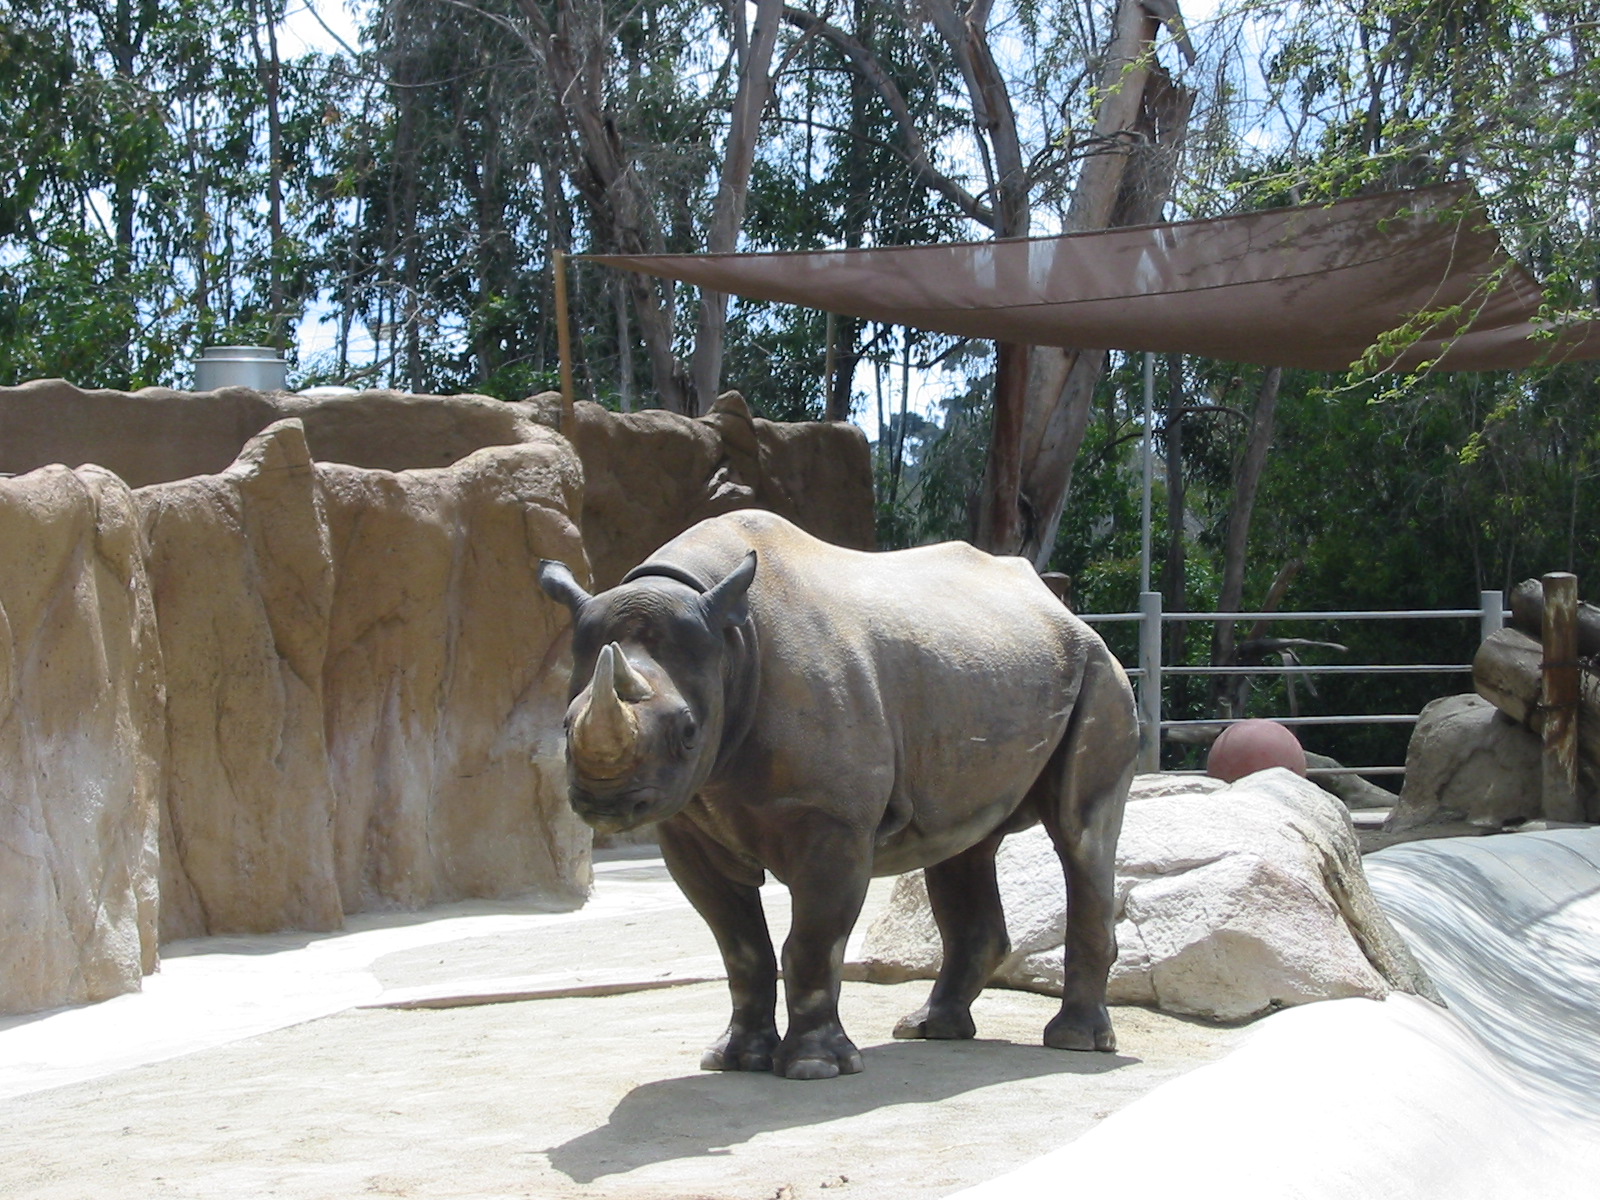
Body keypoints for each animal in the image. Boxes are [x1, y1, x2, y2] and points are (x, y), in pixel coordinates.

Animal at [539, 510, 1138, 1080]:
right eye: (565, 726)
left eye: (688, 732)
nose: (605, 802)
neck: (728, 643)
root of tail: (1061, 609)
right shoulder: (688, 825)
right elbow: (740, 945)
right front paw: (734, 1059)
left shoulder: (831, 820)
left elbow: (811, 940)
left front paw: (814, 1067)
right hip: (984, 670)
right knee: (963, 845)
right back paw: (930, 1029)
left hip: (1099, 672)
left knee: (1080, 834)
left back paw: (1075, 1042)